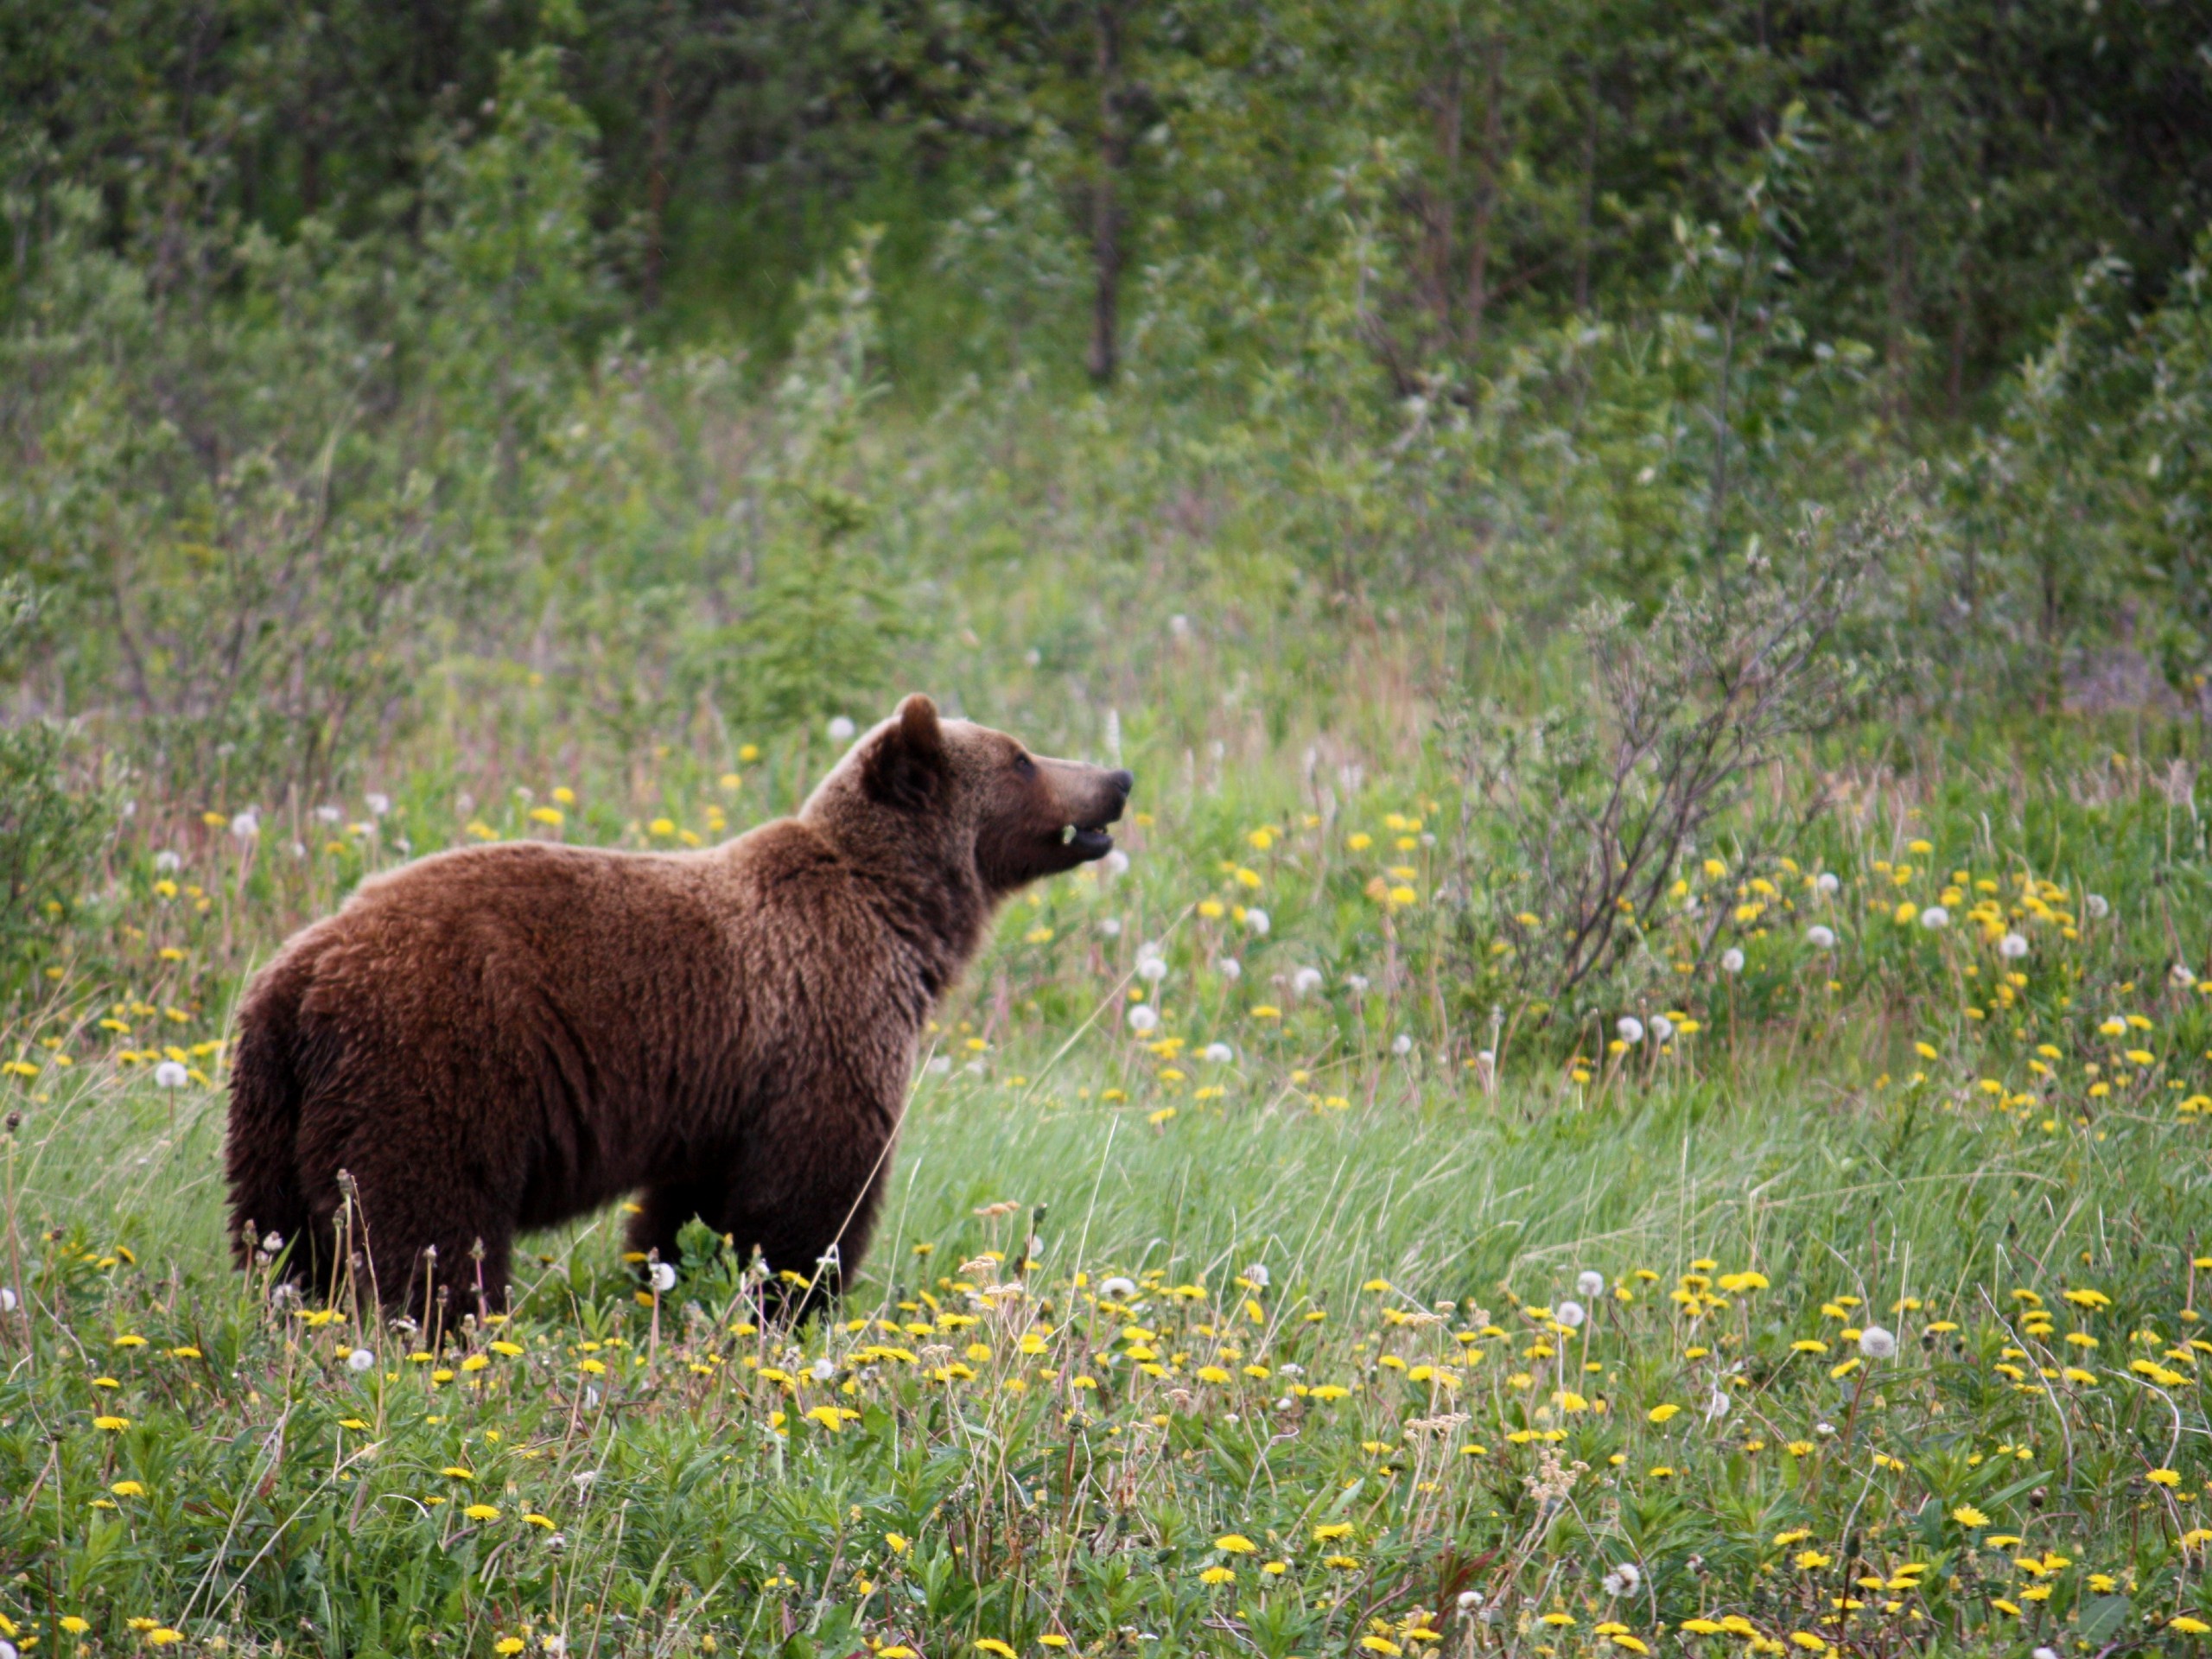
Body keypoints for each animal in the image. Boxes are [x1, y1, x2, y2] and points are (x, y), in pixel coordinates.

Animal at [224, 698, 1132, 1327]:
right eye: (1021, 759)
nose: (1117, 780)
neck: (900, 918)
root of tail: (302, 974)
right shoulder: (823, 1024)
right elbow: (808, 1198)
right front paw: (793, 1303)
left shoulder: (722, 1087)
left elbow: (688, 1208)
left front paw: (669, 1284)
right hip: (435, 1065)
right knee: (428, 1225)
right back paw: (446, 1328)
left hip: (272, 1108)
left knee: (277, 1241)